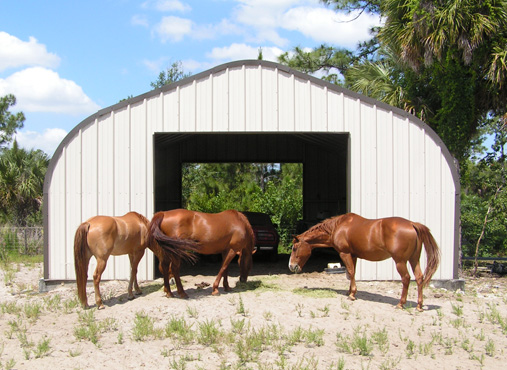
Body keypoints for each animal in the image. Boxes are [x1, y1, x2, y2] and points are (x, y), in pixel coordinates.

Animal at [290, 212, 440, 310]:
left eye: (295, 248)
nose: (291, 266)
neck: (338, 227)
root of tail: (412, 224)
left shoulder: (345, 254)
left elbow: (350, 272)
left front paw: (352, 295)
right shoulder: (353, 256)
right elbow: (352, 273)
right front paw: (350, 292)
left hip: (400, 262)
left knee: (406, 279)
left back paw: (400, 304)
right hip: (414, 259)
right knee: (419, 278)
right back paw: (419, 306)